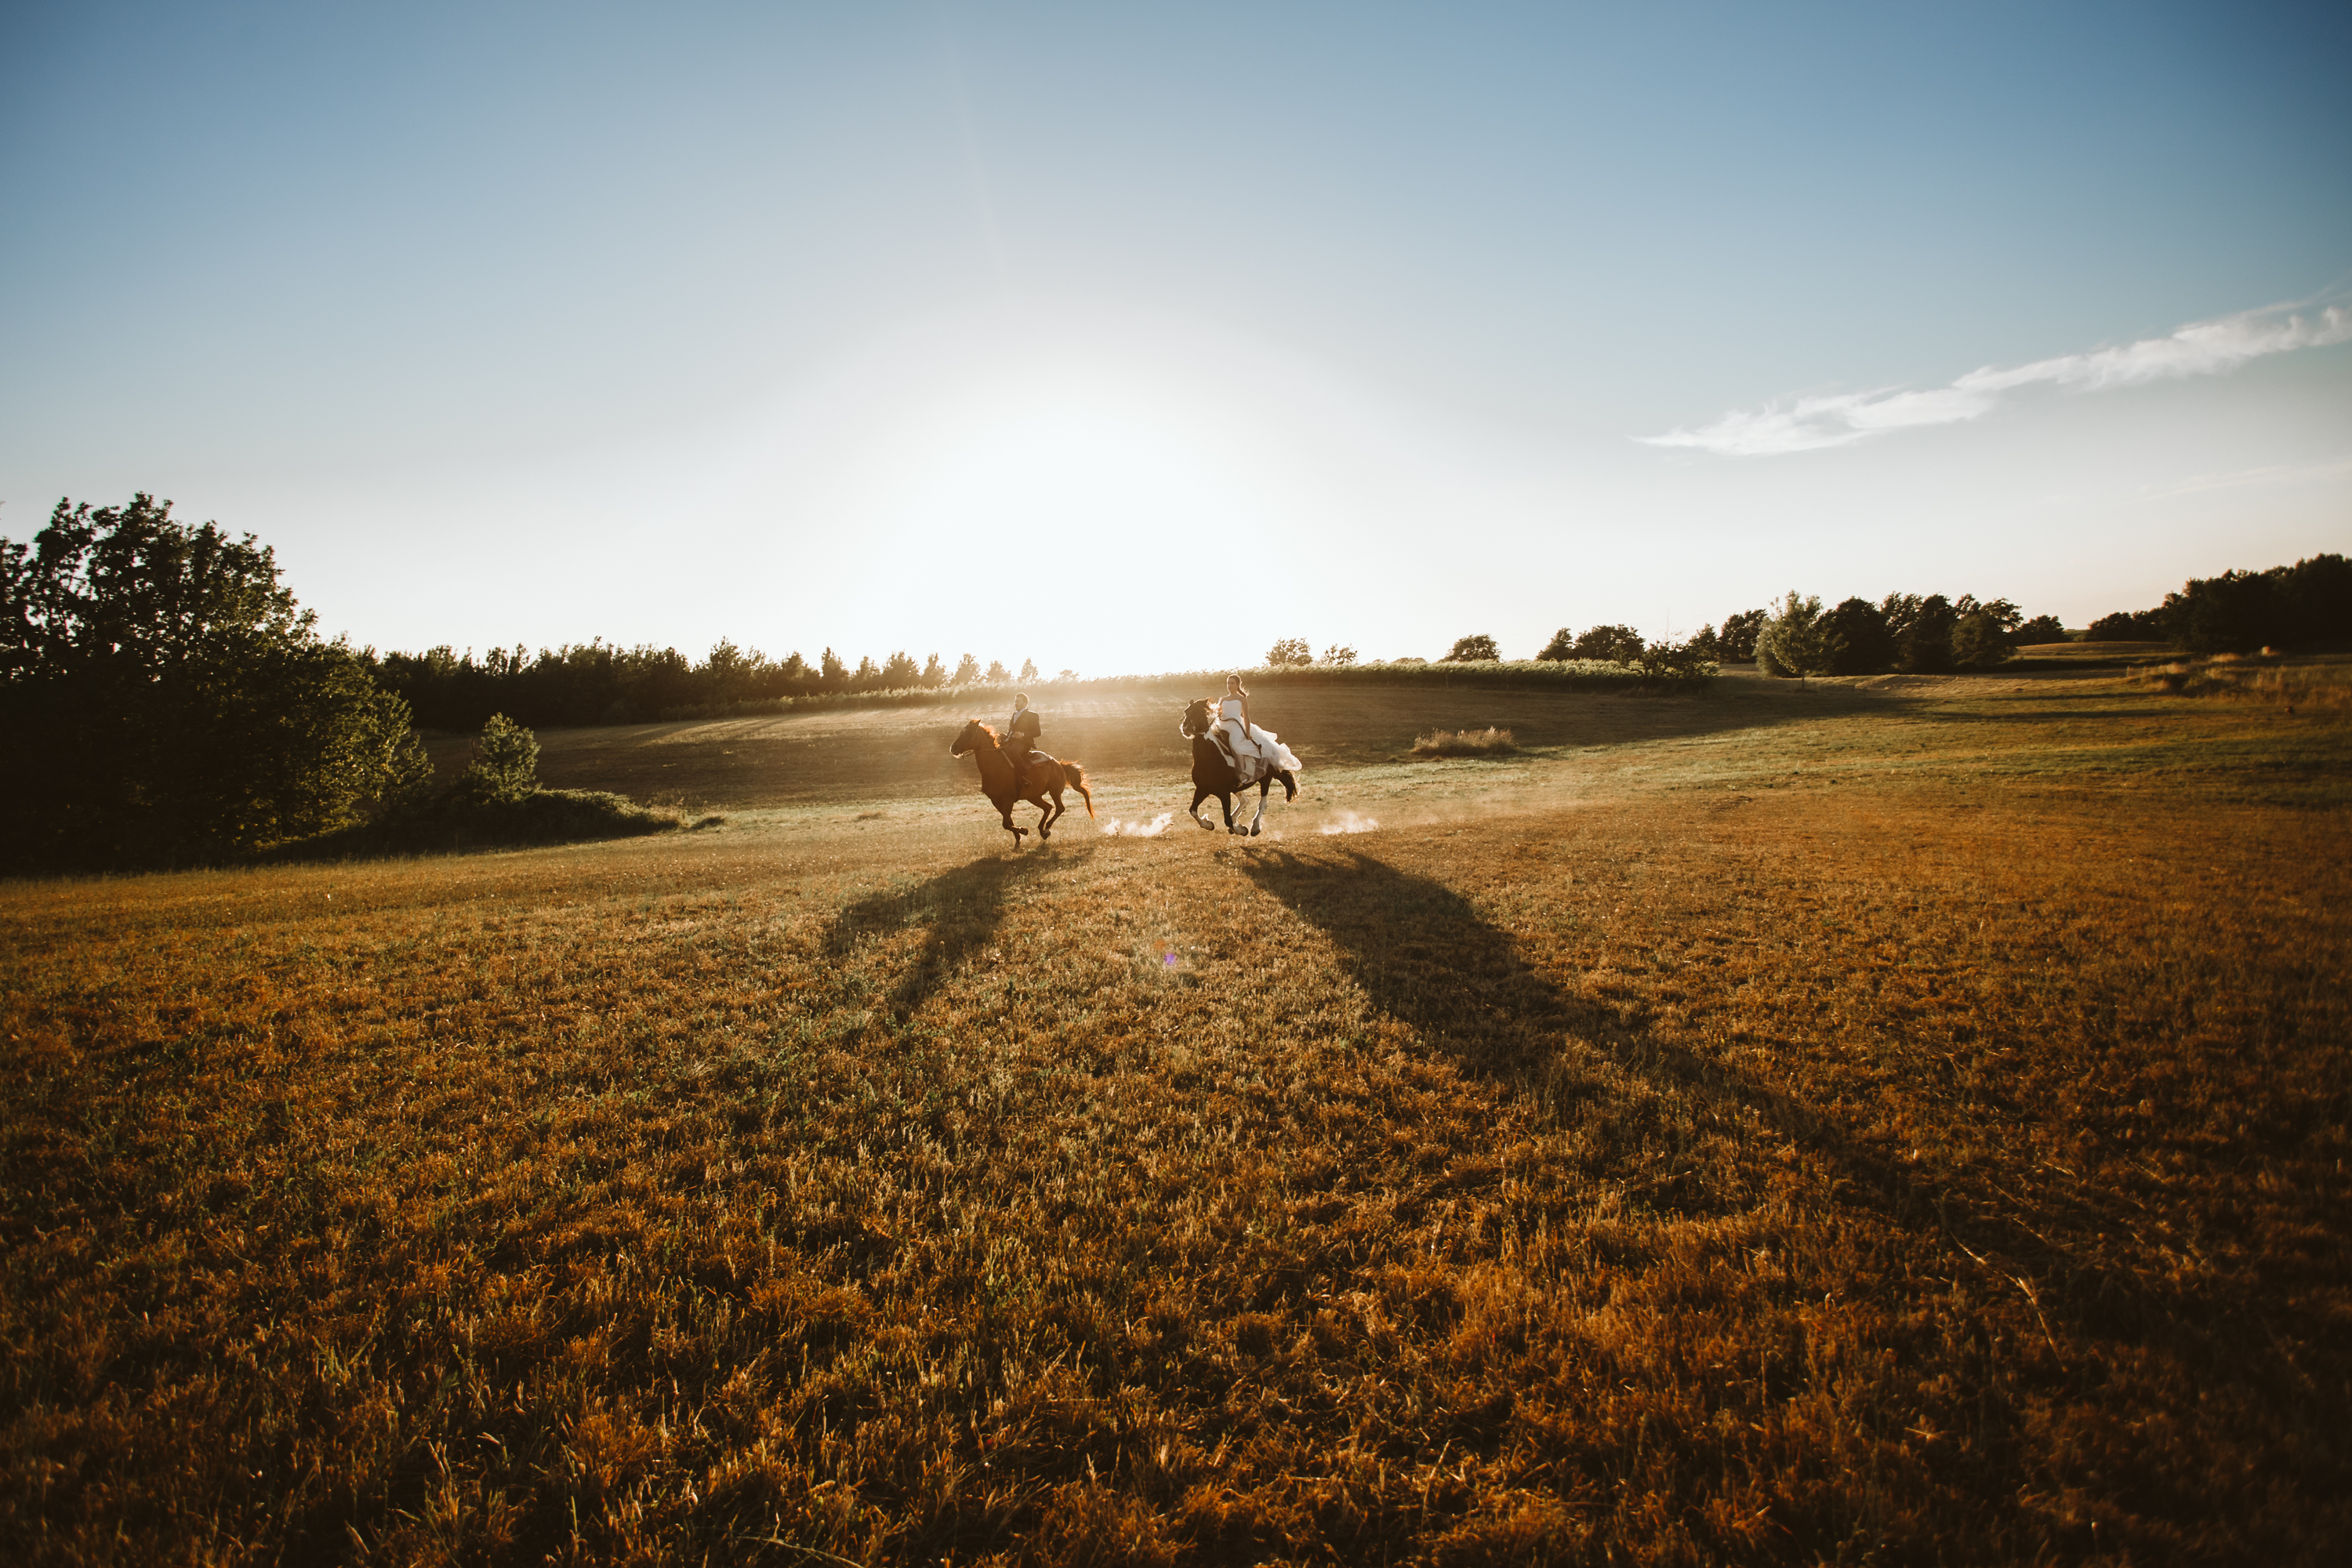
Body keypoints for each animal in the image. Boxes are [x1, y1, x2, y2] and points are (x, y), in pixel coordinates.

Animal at [946, 719, 1091, 851]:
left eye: (969, 732)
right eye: (961, 732)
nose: (953, 748)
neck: (995, 765)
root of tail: (1059, 764)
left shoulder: (1008, 799)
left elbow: (1005, 823)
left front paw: (1024, 831)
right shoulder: (996, 801)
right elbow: (1008, 821)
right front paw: (1018, 840)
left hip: (1054, 791)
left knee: (1059, 808)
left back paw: (1046, 830)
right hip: (1034, 797)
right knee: (1048, 807)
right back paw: (1042, 830)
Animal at [1185, 700, 1298, 841]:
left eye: (1197, 712)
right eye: (1186, 712)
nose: (1185, 728)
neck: (1210, 757)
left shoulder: (1224, 793)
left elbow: (1227, 820)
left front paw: (1241, 830)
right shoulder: (1202, 789)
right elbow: (1193, 811)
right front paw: (1209, 825)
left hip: (1265, 780)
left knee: (1262, 804)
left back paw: (1255, 828)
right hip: (1236, 788)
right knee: (1245, 801)